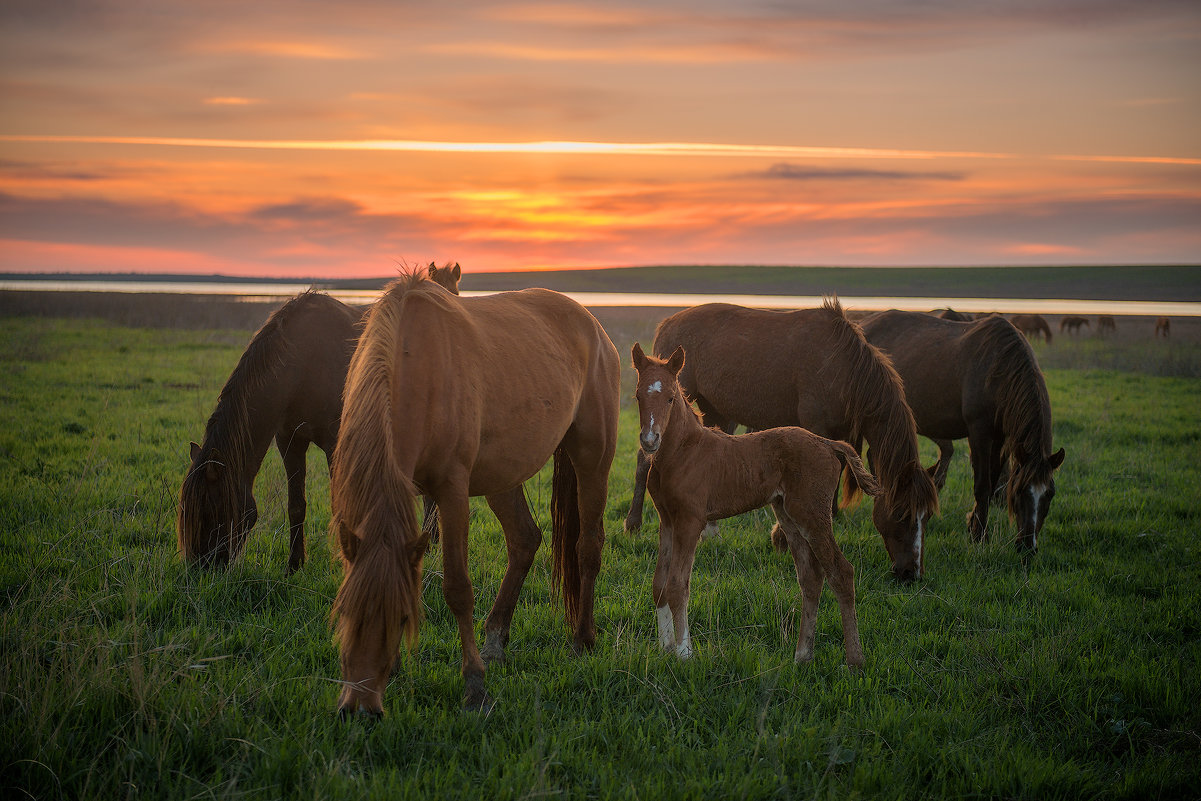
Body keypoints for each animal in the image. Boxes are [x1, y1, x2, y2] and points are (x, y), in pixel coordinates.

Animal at [178, 266, 463, 574]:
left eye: (211, 510)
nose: (202, 568)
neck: (302, 364)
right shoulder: (289, 440)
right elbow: (296, 504)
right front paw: (294, 563)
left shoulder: (334, 441)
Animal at [333, 272, 624, 715]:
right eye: (346, 612)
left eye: (401, 619)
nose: (360, 709)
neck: (413, 365)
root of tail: (592, 324)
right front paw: (399, 667)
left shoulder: (451, 493)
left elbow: (457, 588)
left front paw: (474, 685)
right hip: (501, 476)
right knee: (524, 540)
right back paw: (495, 641)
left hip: (593, 458)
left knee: (588, 545)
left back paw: (581, 640)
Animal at [624, 299, 941, 583]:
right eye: (901, 513)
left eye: (926, 517)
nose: (911, 573)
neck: (842, 367)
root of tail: (669, 322)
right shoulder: (816, 427)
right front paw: (781, 538)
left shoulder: (844, 435)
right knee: (643, 460)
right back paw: (633, 524)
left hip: (717, 411)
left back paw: (710, 529)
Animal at [634, 345, 879, 672]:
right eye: (638, 395)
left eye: (671, 397)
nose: (650, 440)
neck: (682, 452)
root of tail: (828, 443)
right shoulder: (667, 521)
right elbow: (659, 584)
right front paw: (665, 649)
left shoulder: (690, 521)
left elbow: (677, 585)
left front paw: (685, 654)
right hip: (787, 515)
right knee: (810, 578)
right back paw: (802, 655)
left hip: (812, 515)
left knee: (841, 572)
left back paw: (855, 661)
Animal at [859, 309, 1066, 554]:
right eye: (1019, 491)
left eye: (1050, 494)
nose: (1027, 546)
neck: (999, 368)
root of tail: (862, 323)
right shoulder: (979, 433)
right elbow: (983, 486)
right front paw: (979, 536)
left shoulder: (999, 437)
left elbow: (993, 480)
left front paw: (973, 525)